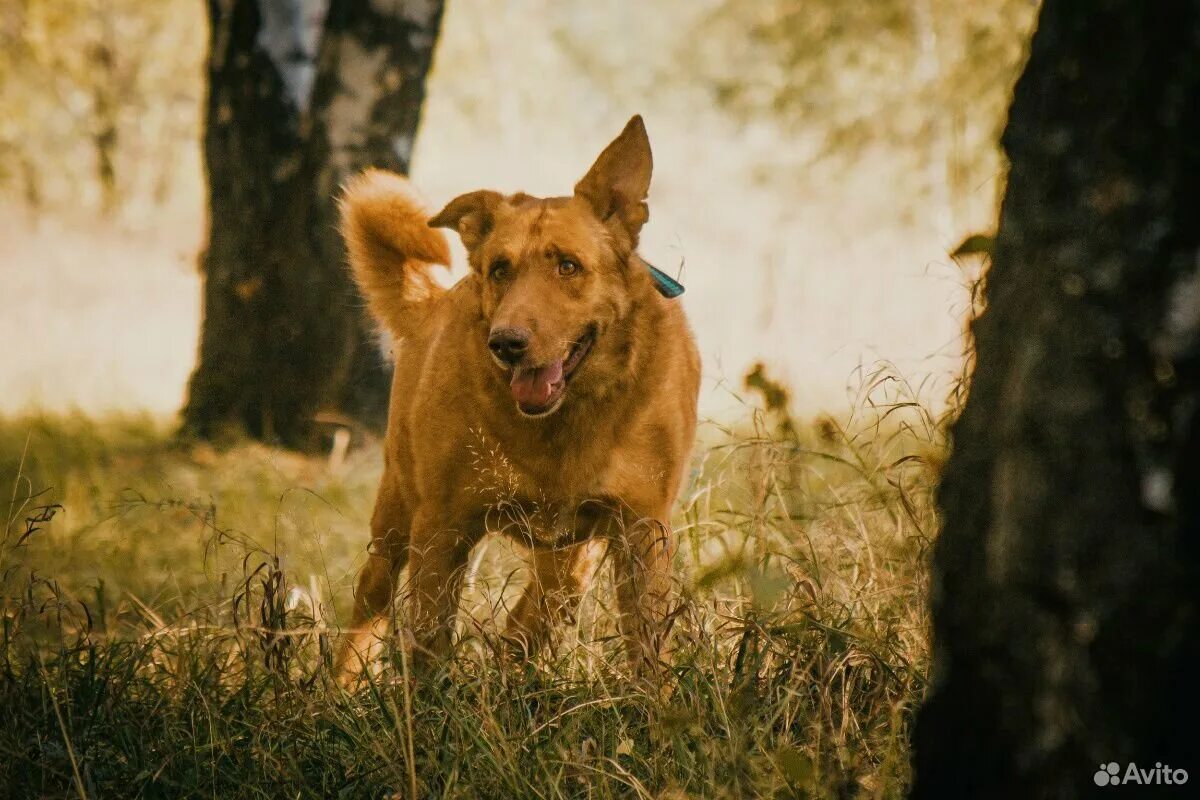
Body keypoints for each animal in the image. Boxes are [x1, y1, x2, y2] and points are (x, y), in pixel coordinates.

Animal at [333, 115, 700, 681]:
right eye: (500, 269)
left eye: (568, 266)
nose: (506, 343)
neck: (564, 425)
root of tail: (434, 303)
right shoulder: (441, 529)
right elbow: (427, 646)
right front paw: (427, 704)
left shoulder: (643, 530)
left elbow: (649, 651)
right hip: (396, 515)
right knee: (370, 605)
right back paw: (343, 686)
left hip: (571, 560)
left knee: (527, 622)